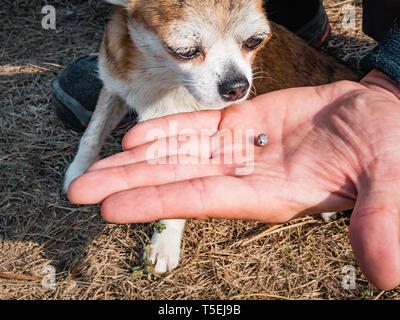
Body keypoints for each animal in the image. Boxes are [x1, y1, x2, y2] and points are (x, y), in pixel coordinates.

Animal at [65, 0, 360, 272]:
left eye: (254, 41)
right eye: (185, 51)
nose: (238, 87)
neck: (161, 74)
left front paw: (164, 243)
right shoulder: (114, 88)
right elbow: (92, 133)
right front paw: (79, 170)